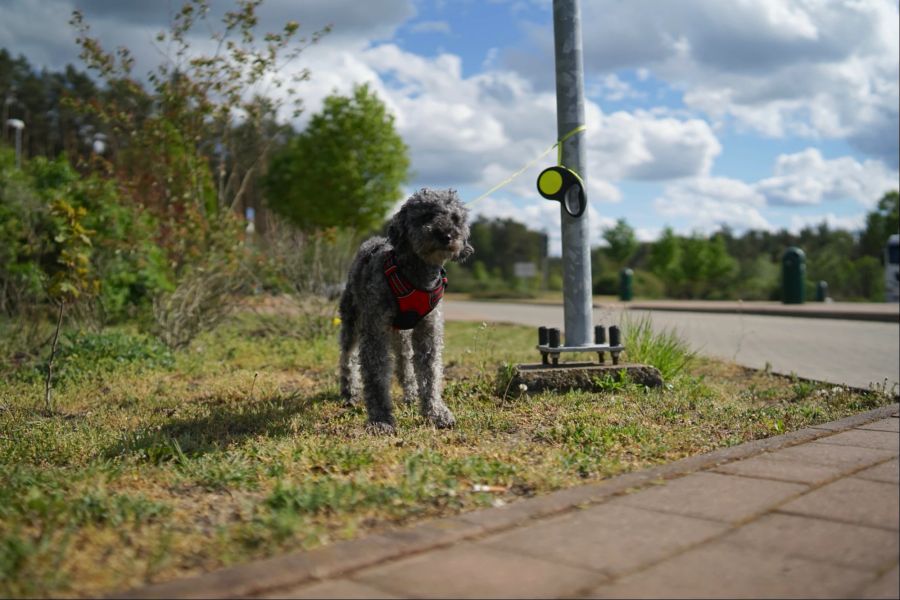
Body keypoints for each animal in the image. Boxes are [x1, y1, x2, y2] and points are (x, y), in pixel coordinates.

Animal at [340, 188, 474, 432]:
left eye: (455, 219)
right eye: (426, 216)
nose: (446, 235)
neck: (416, 276)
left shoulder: (428, 330)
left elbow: (430, 372)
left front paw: (435, 412)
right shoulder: (375, 331)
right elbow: (375, 376)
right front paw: (381, 419)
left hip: (401, 333)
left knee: (404, 361)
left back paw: (411, 393)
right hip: (351, 321)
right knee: (347, 357)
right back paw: (348, 392)